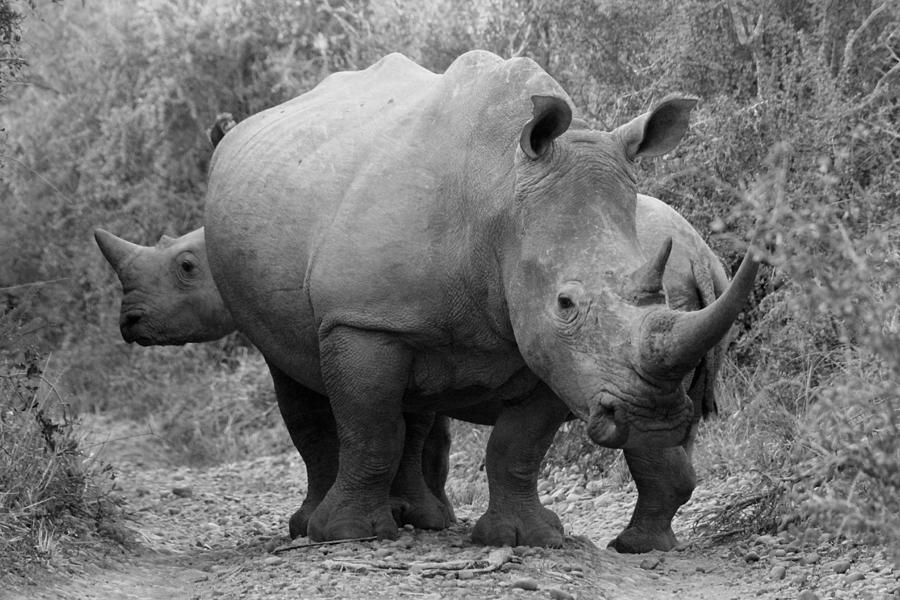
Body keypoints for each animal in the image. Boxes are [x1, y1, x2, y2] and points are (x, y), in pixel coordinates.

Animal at [98, 198, 740, 552]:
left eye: (185, 267)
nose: (129, 322)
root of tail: (703, 255)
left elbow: (386, 431)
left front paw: (397, 517)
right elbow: (423, 433)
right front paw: (425, 515)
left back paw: (630, 547)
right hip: (673, 294)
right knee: (669, 419)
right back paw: (646, 547)